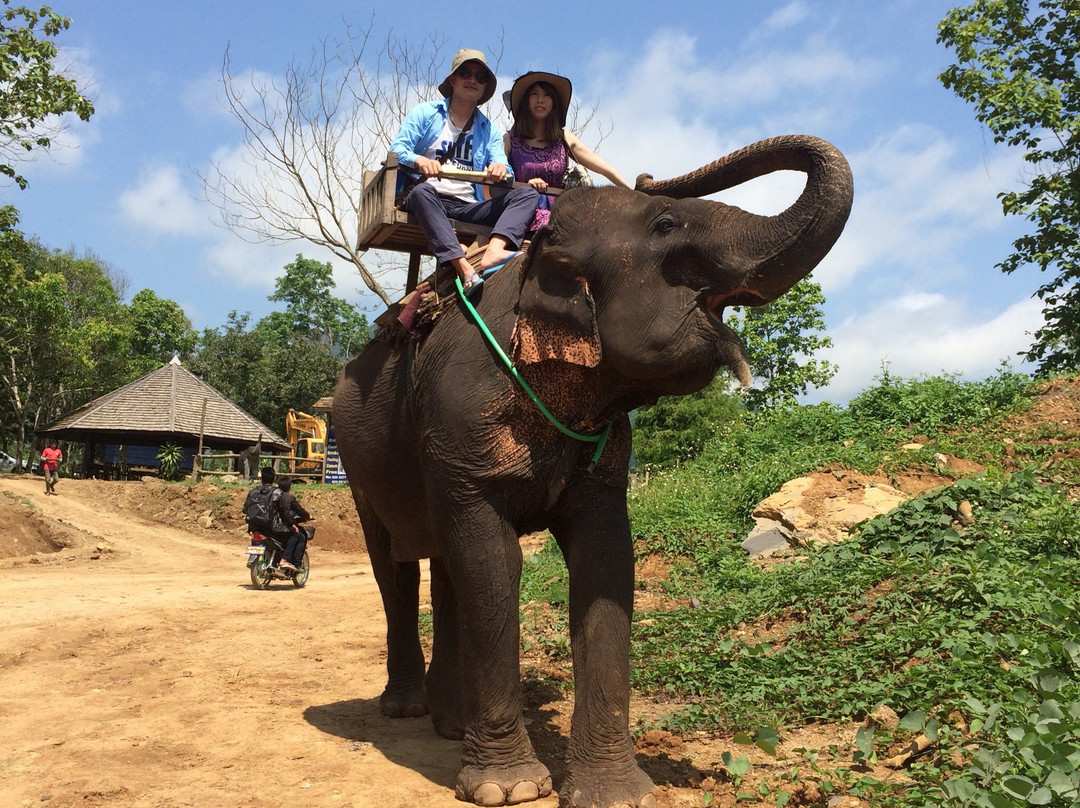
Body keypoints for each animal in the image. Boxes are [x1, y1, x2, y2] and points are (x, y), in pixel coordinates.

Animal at [332, 134, 853, 808]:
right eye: (666, 224)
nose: (647, 174)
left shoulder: (605, 451)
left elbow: (603, 562)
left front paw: (619, 795)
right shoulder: (459, 418)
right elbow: (495, 564)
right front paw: (509, 789)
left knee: (447, 569)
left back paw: (450, 725)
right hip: (356, 458)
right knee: (396, 569)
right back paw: (405, 709)